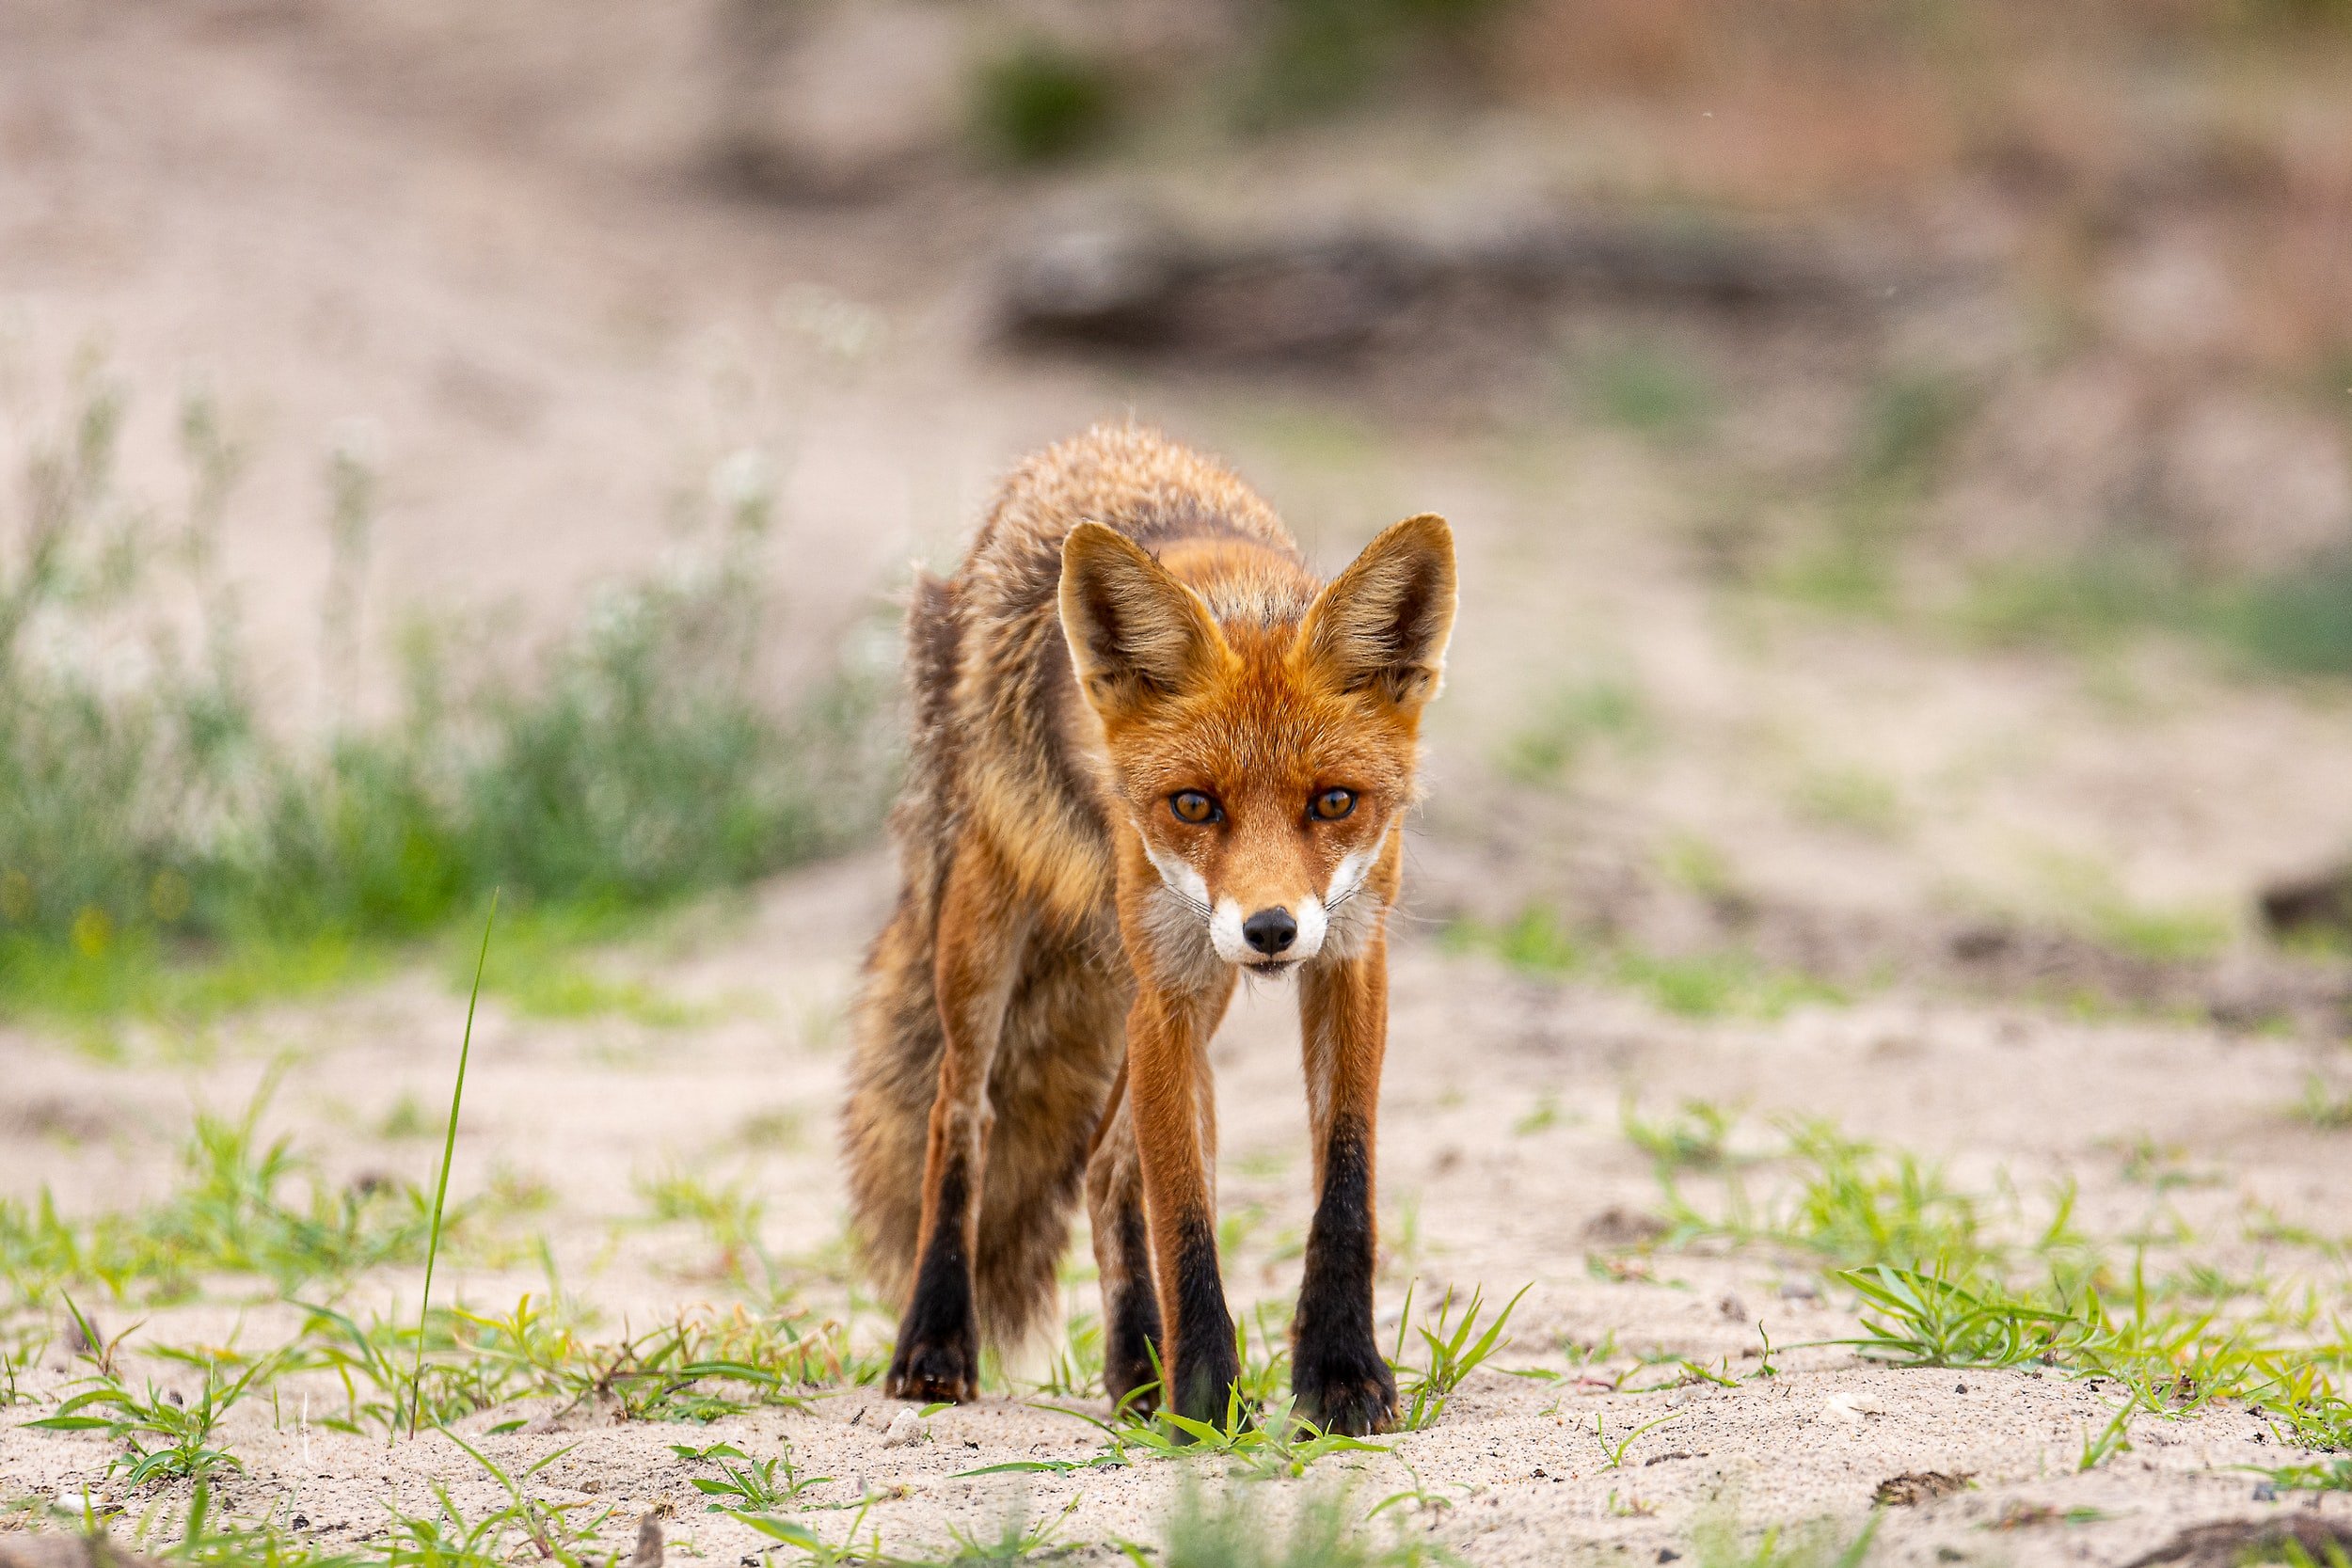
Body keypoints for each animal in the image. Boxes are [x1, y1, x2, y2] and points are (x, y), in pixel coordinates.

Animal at [847, 420, 1449, 1438]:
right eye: (1193, 803)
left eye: (1334, 801)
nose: (1271, 927)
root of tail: (1085, 442)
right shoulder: (1166, 988)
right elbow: (1184, 1214)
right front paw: (1206, 1399)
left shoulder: (1349, 957)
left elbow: (1343, 1184)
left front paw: (1337, 1375)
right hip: (990, 927)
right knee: (960, 1115)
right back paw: (935, 1339)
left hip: (1196, 981)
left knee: (1103, 1165)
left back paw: (1135, 1364)